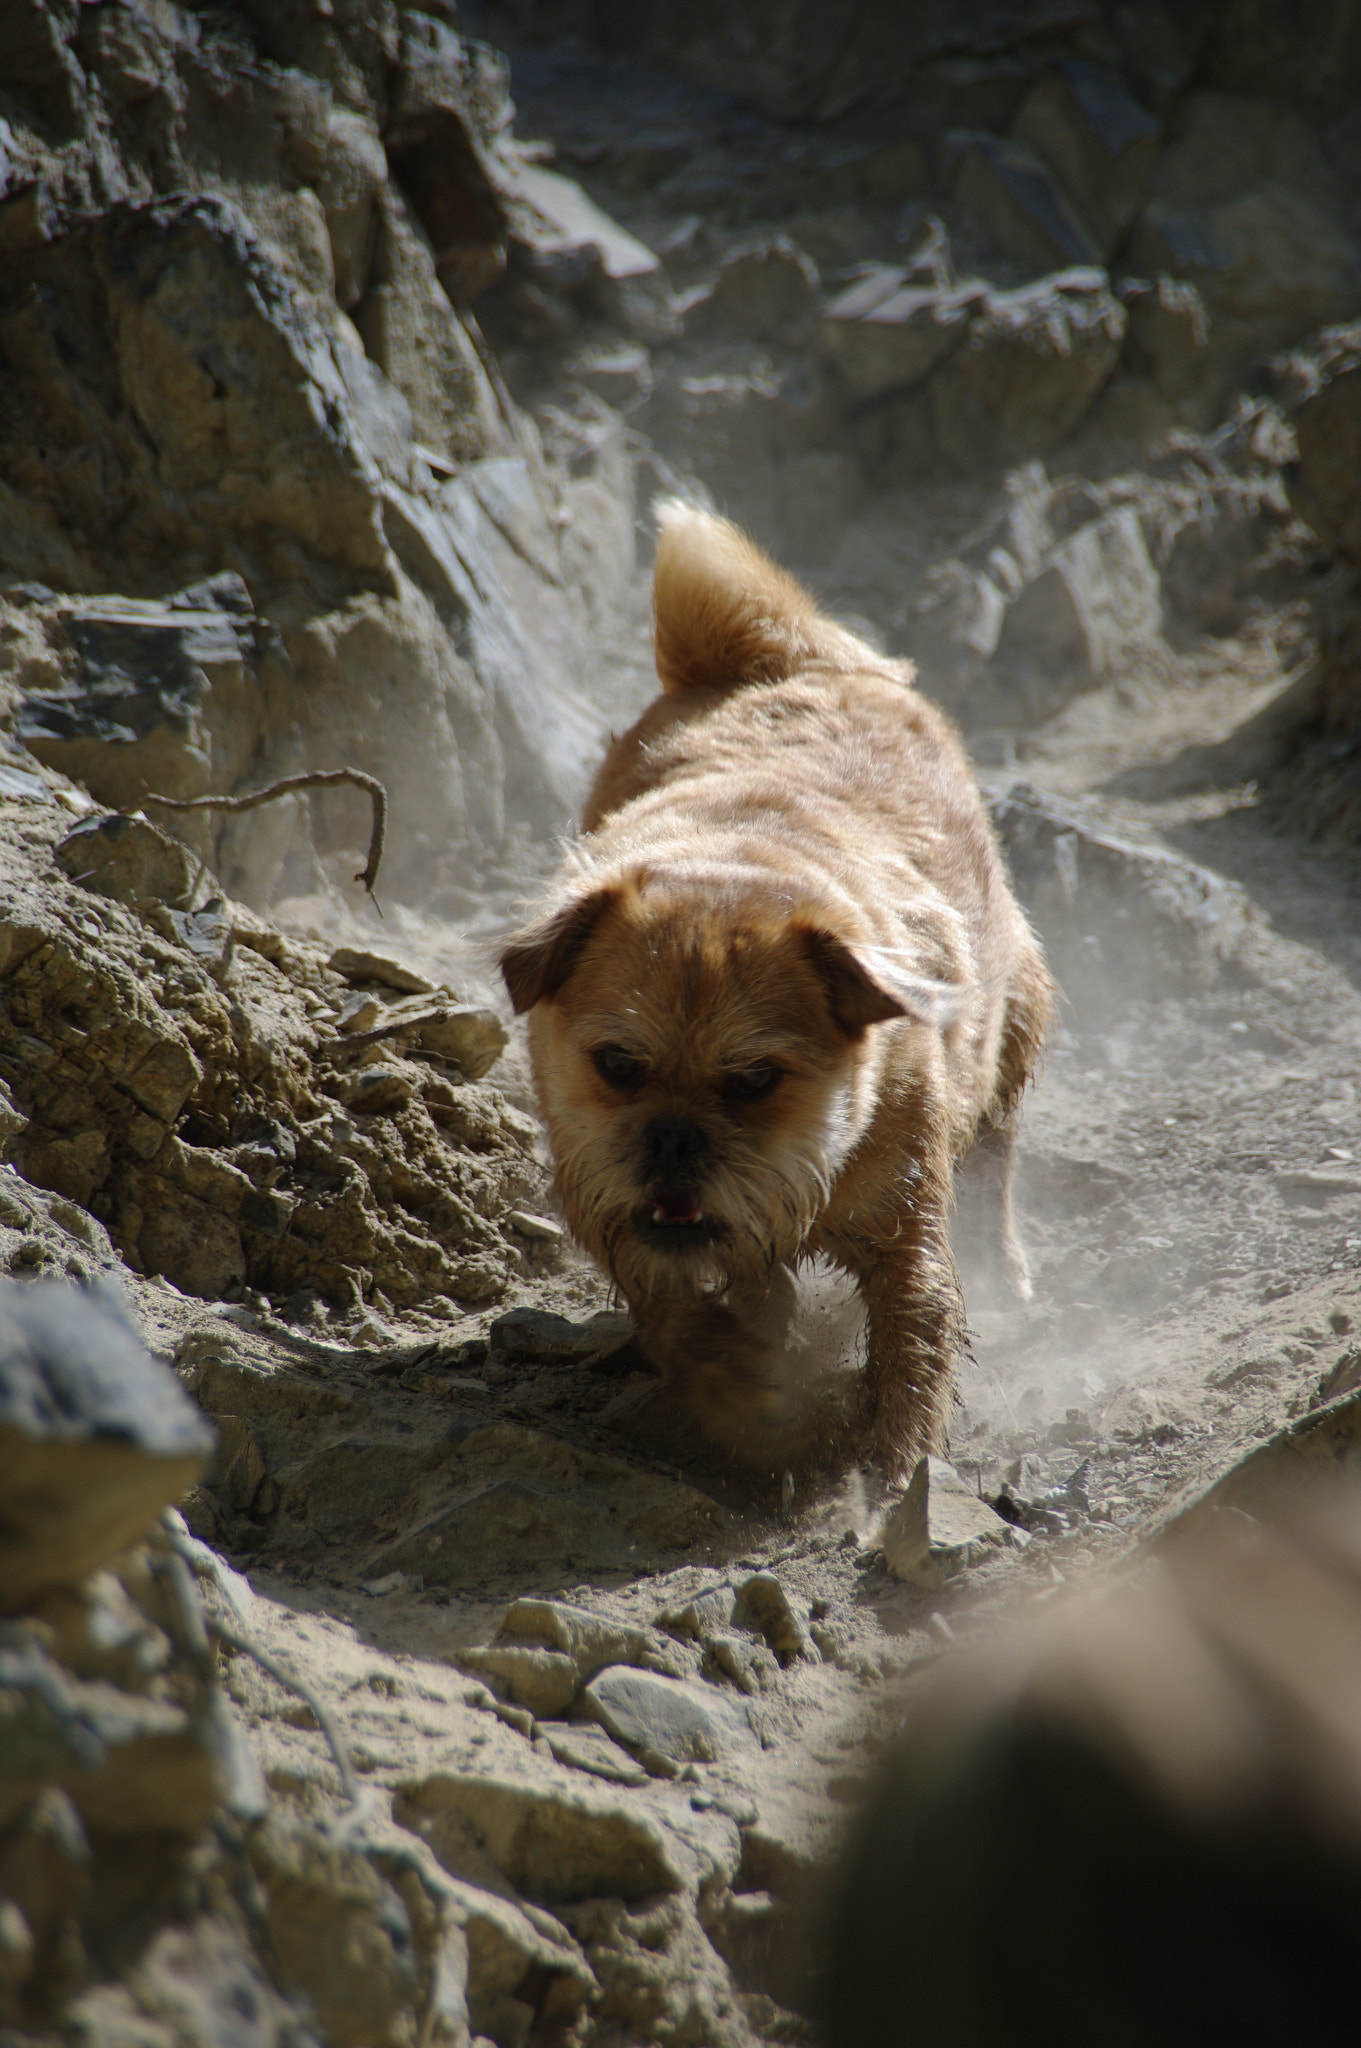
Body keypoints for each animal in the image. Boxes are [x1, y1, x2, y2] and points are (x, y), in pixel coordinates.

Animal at [499, 503, 1047, 1482]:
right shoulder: (641, 1237)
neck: (742, 859)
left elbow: (914, 1346)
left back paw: (1004, 1262)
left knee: (995, 1155)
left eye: (755, 1080)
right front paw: (739, 1403)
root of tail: (783, 660)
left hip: (1011, 1024)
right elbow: (691, 1320)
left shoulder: (907, 1239)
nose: (674, 1138)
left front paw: (892, 1476)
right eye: (616, 1064)